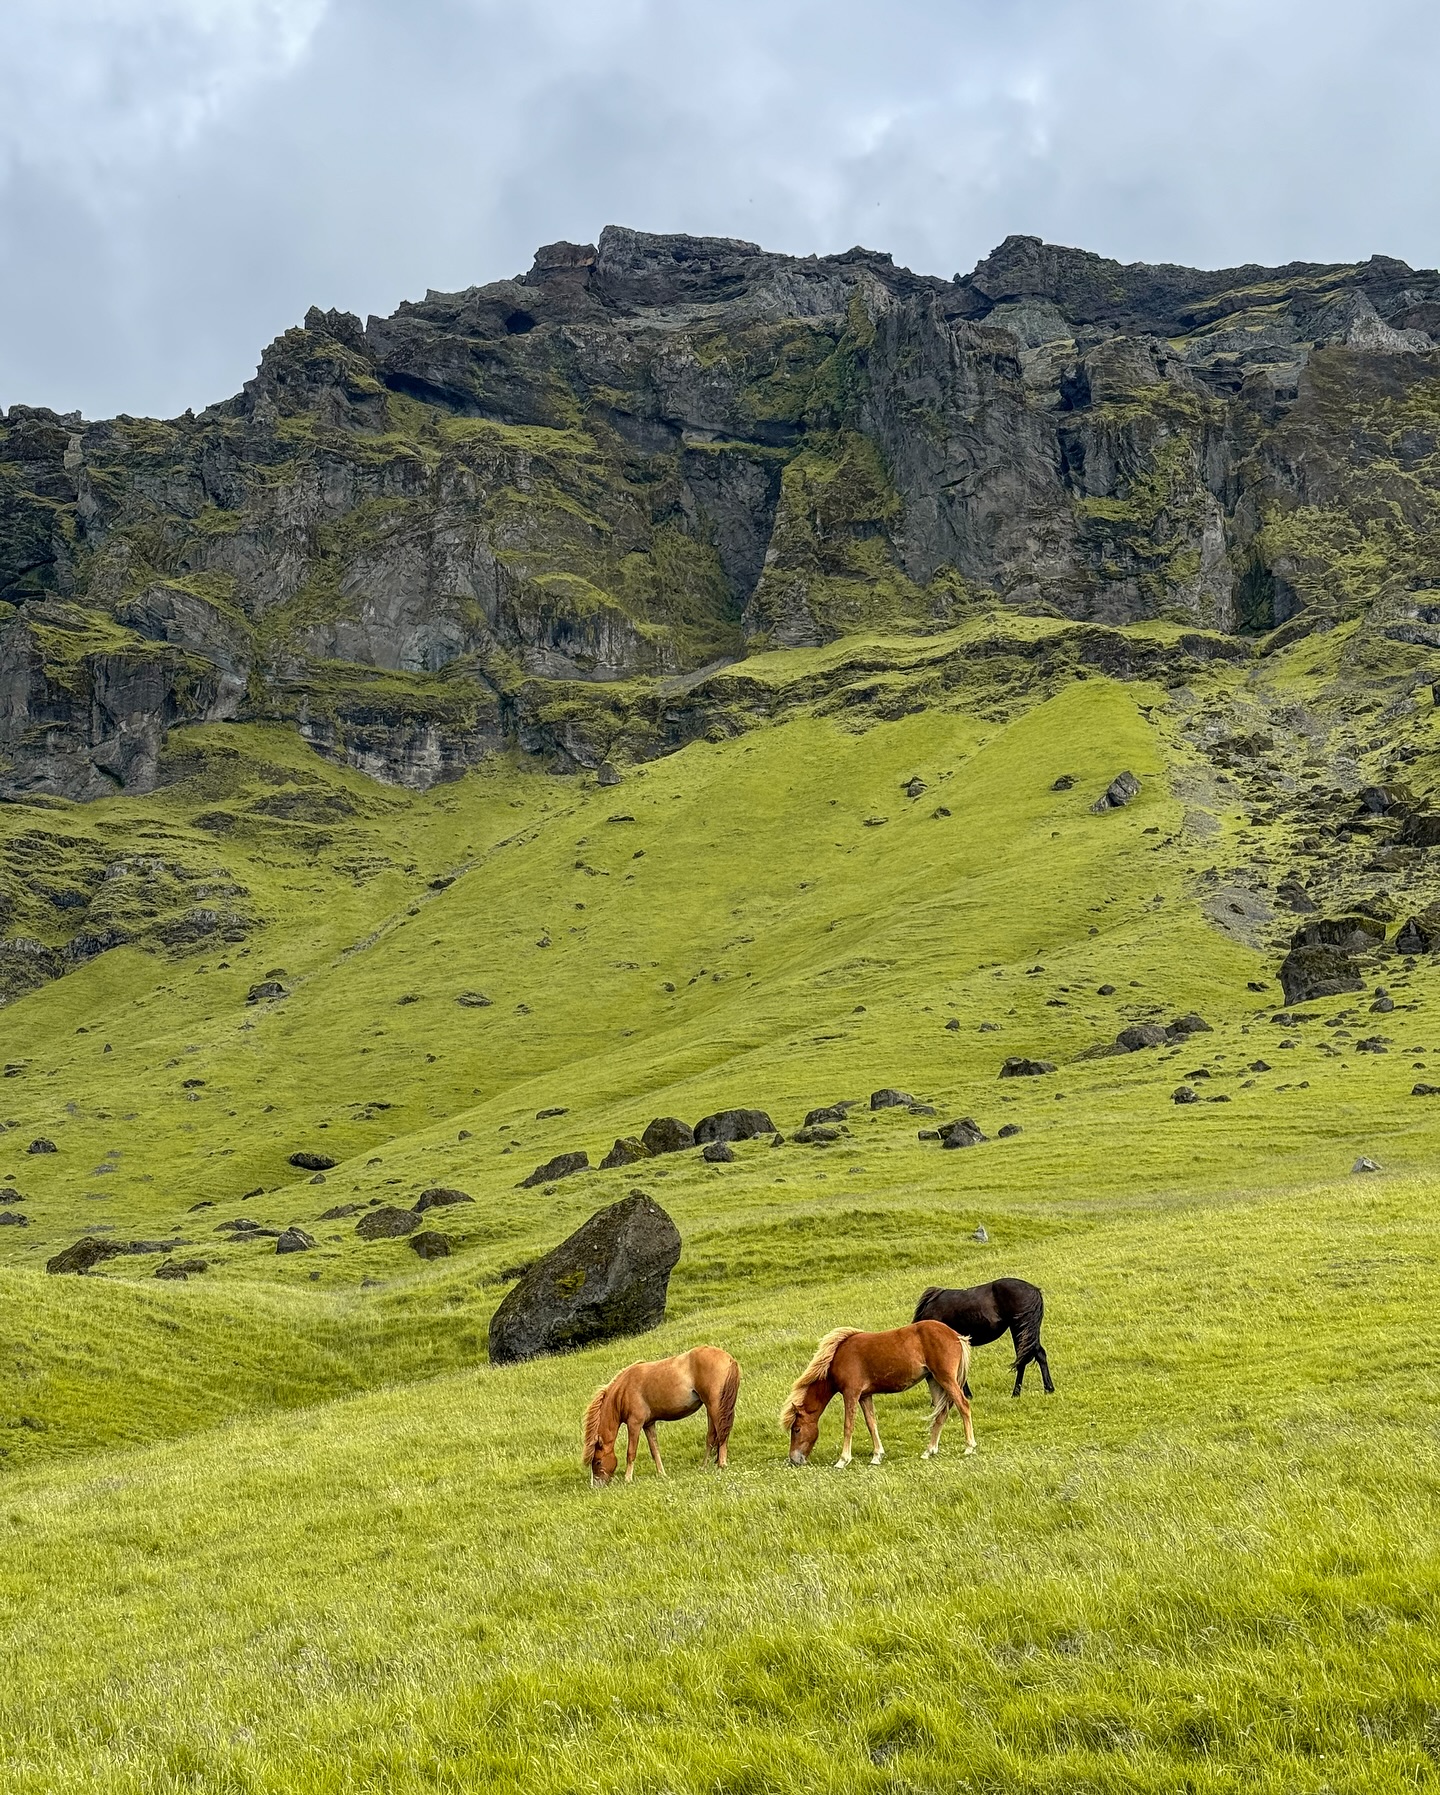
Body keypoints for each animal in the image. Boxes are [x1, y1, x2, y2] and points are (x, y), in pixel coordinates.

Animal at [581, 1349, 739, 1486]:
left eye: (598, 1462)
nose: (595, 1486)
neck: (623, 1391)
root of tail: (728, 1358)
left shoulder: (635, 1424)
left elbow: (631, 1452)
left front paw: (628, 1479)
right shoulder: (648, 1424)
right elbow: (654, 1450)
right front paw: (662, 1474)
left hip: (715, 1406)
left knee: (722, 1433)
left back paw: (721, 1463)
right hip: (710, 1408)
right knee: (711, 1437)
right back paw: (704, 1466)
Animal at [779, 1321, 969, 1471]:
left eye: (796, 1429)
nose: (793, 1459)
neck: (836, 1357)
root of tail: (955, 1335)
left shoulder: (851, 1394)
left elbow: (848, 1426)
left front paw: (842, 1460)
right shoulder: (865, 1396)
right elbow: (872, 1424)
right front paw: (877, 1456)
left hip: (945, 1379)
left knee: (963, 1405)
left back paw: (969, 1447)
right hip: (934, 1381)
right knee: (941, 1413)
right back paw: (929, 1451)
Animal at [908, 1278, 1055, 1400]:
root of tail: (1034, 1290)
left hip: (1019, 1330)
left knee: (1024, 1360)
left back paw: (1017, 1393)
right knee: (1038, 1355)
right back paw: (1047, 1389)